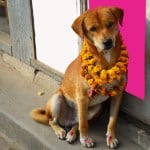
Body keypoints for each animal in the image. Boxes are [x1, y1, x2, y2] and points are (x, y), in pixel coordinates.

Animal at [30, 6, 127, 149]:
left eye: (110, 24)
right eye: (93, 29)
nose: (108, 42)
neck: (106, 60)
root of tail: (67, 120)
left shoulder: (118, 94)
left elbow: (112, 120)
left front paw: (111, 137)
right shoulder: (82, 97)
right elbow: (84, 124)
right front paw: (85, 139)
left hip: (95, 108)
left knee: (77, 123)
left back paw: (71, 133)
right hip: (57, 99)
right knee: (53, 121)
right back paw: (60, 131)